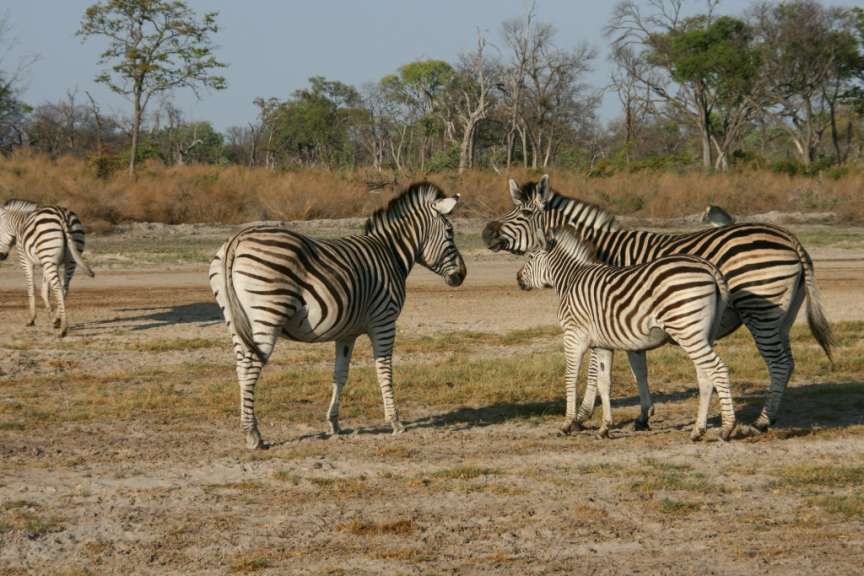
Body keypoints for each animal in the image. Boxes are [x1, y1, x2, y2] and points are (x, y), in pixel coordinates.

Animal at [0, 199, 95, 337]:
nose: (1, 256)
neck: (18, 225)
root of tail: (62, 215)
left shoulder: (25, 259)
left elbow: (31, 288)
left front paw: (32, 319)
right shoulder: (47, 263)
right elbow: (45, 291)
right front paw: (53, 318)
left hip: (50, 258)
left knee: (58, 288)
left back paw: (63, 329)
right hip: (69, 259)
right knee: (64, 288)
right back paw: (58, 319)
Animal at [209, 182, 466, 449]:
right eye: (450, 232)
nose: (462, 275)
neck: (390, 254)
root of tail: (237, 239)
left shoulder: (347, 333)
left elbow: (340, 374)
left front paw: (334, 423)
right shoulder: (384, 321)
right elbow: (384, 370)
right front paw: (395, 421)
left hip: (235, 321)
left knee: (241, 367)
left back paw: (250, 427)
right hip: (268, 315)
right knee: (250, 367)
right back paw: (252, 434)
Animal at [517, 226, 735, 440]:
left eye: (530, 256)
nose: (518, 278)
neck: (571, 279)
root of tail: (709, 267)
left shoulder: (573, 336)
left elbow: (570, 376)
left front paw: (567, 423)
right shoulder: (602, 344)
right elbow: (604, 382)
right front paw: (605, 427)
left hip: (687, 331)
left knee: (718, 369)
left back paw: (727, 429)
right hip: (702, 334)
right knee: (705, 376)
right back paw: (698, 430)